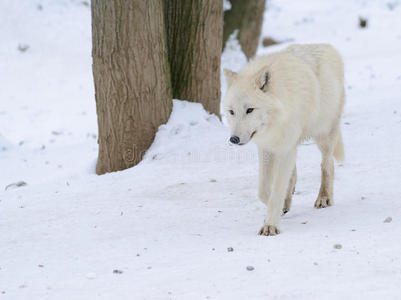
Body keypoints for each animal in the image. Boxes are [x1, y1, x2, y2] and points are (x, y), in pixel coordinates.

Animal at [222, 44, 344, 237]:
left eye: (250, 110)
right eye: (232, 112)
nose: (234, 139)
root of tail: (327, 46)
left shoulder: (286, 147)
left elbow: (277, 190)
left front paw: (270, 225)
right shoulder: (266, 147)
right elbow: (264, 191)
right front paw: (281, 207)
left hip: (323, 135)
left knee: (327, 164)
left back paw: (324, 197)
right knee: (295, 173)